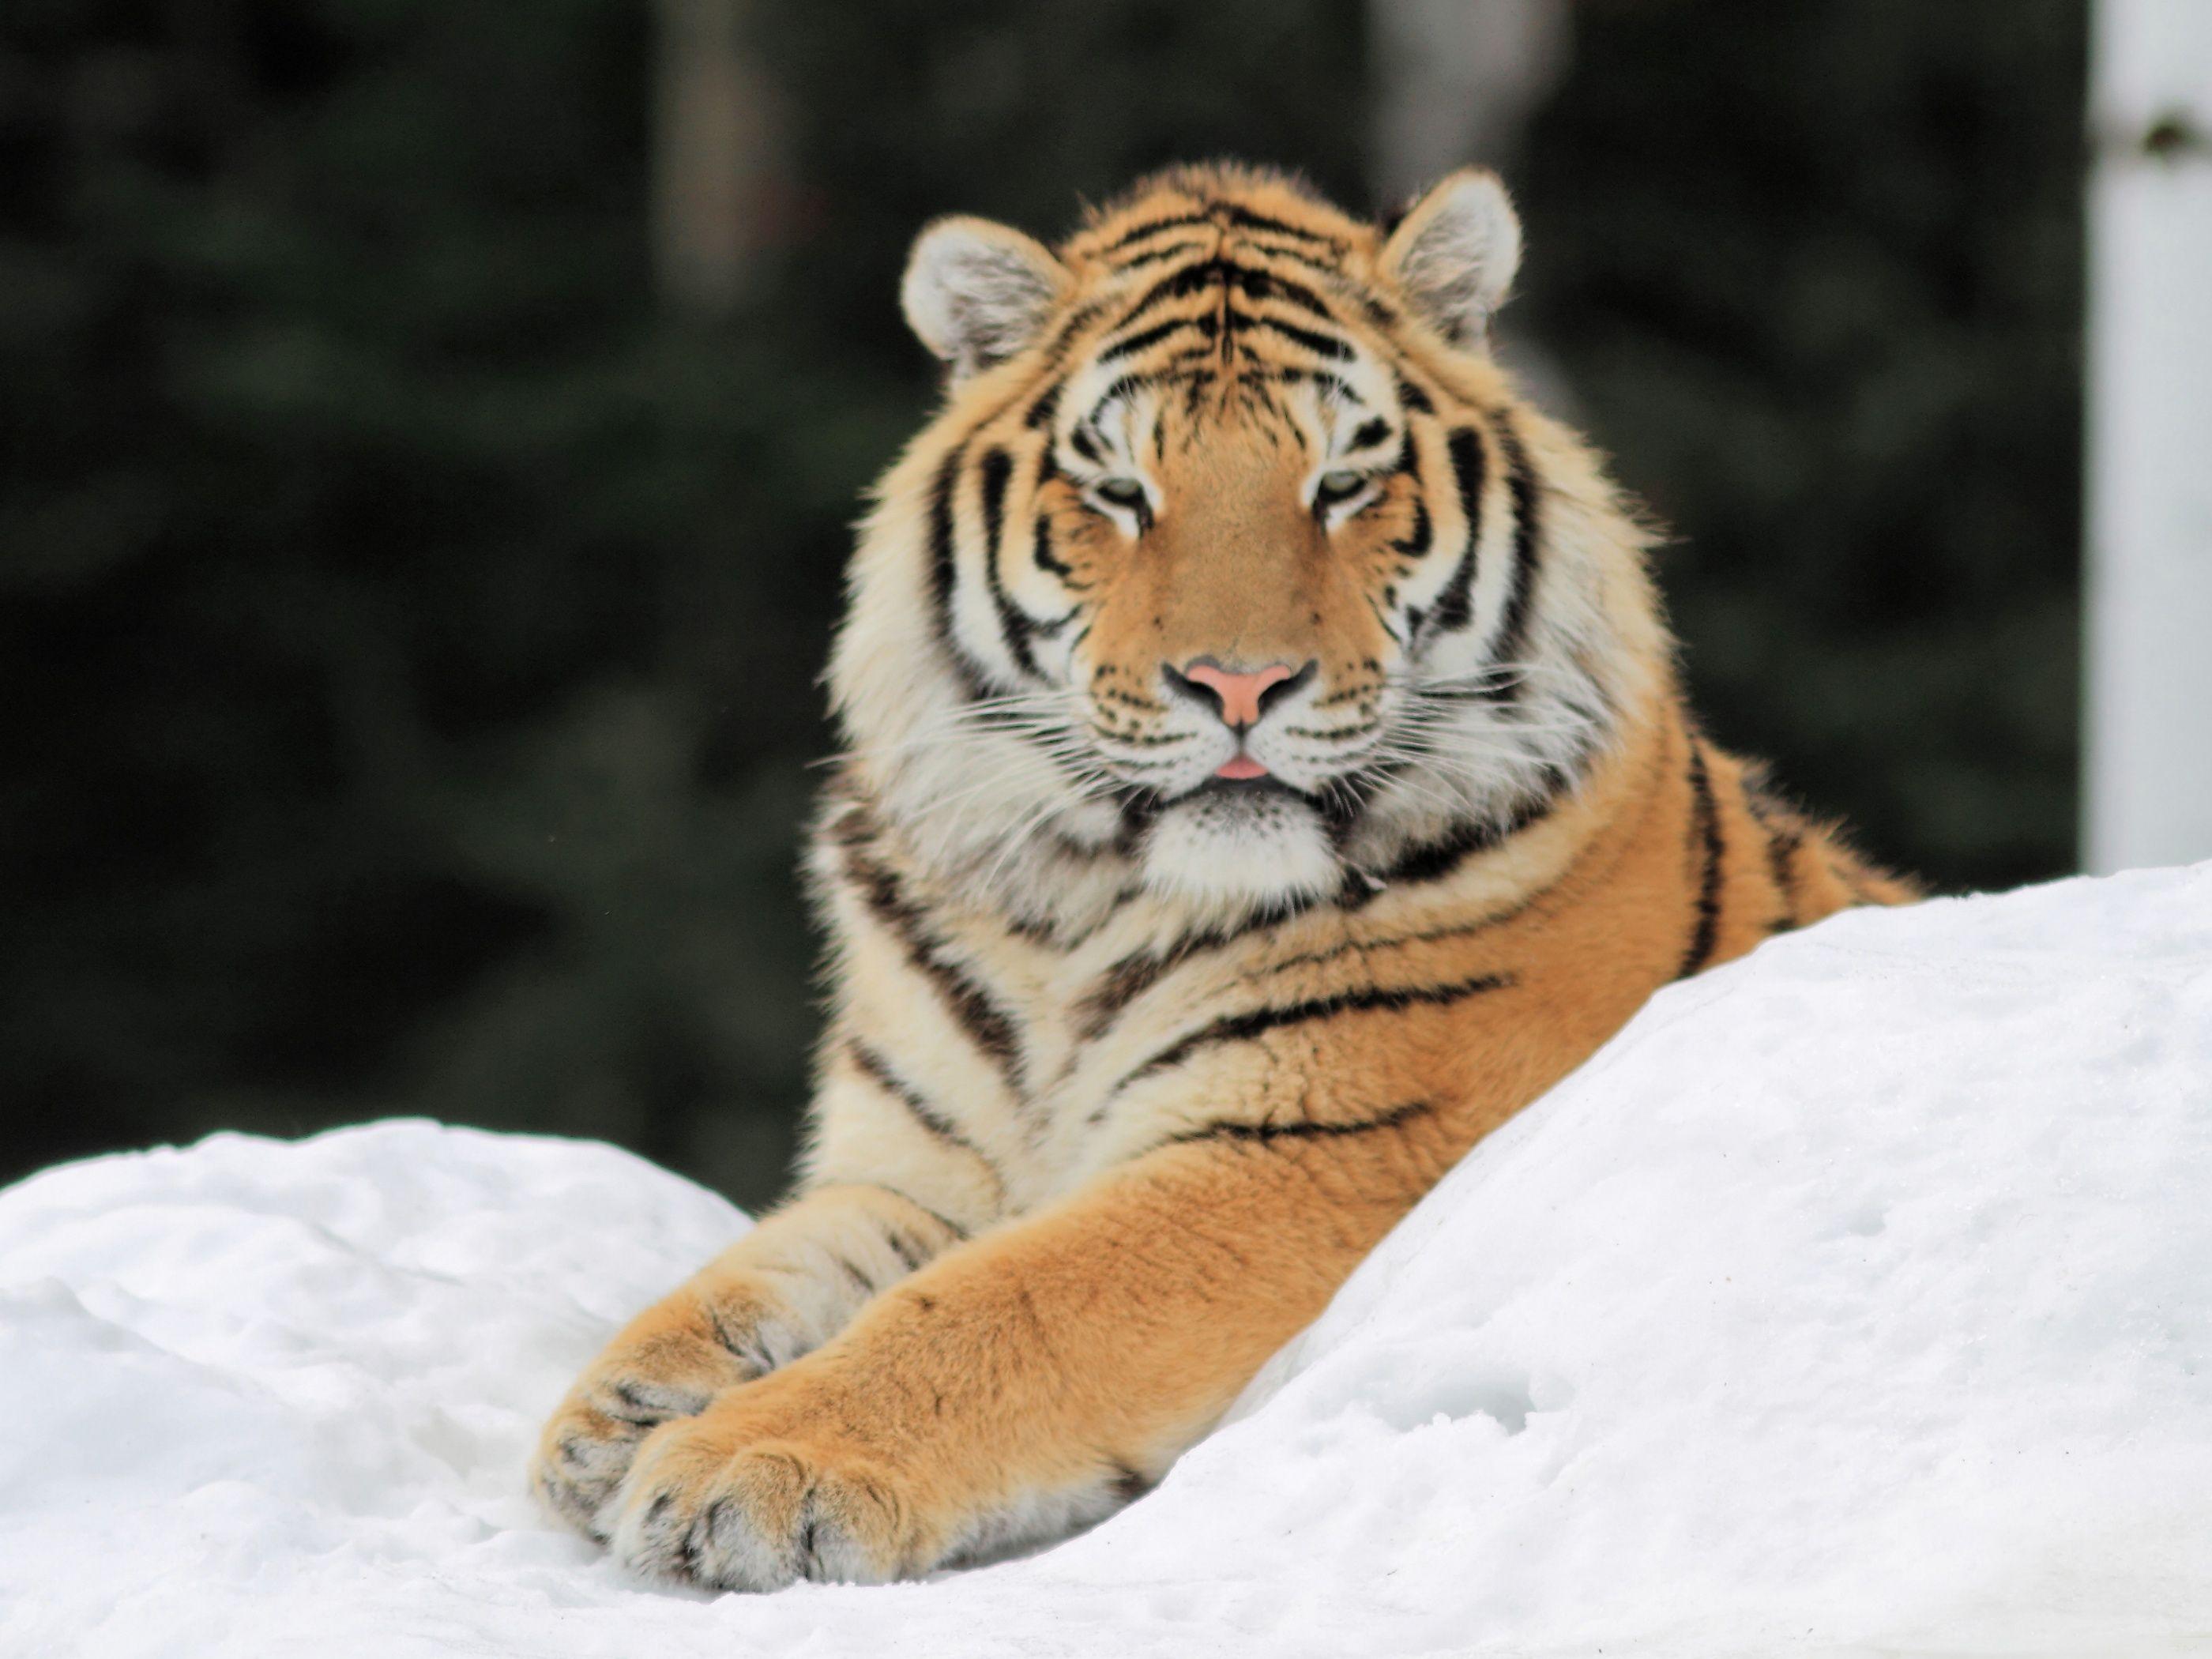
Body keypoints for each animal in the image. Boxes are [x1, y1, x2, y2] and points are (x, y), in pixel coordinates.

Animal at [531, 160, 1915, 1590]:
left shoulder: (1301, 1154)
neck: (1070, 912)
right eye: (1120, 490)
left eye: (1345, 482)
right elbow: (779, 1260)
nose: (1239, 685)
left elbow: (1000, 1301)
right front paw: (620, 1407)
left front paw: (751, 1466)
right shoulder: (921, 1162)